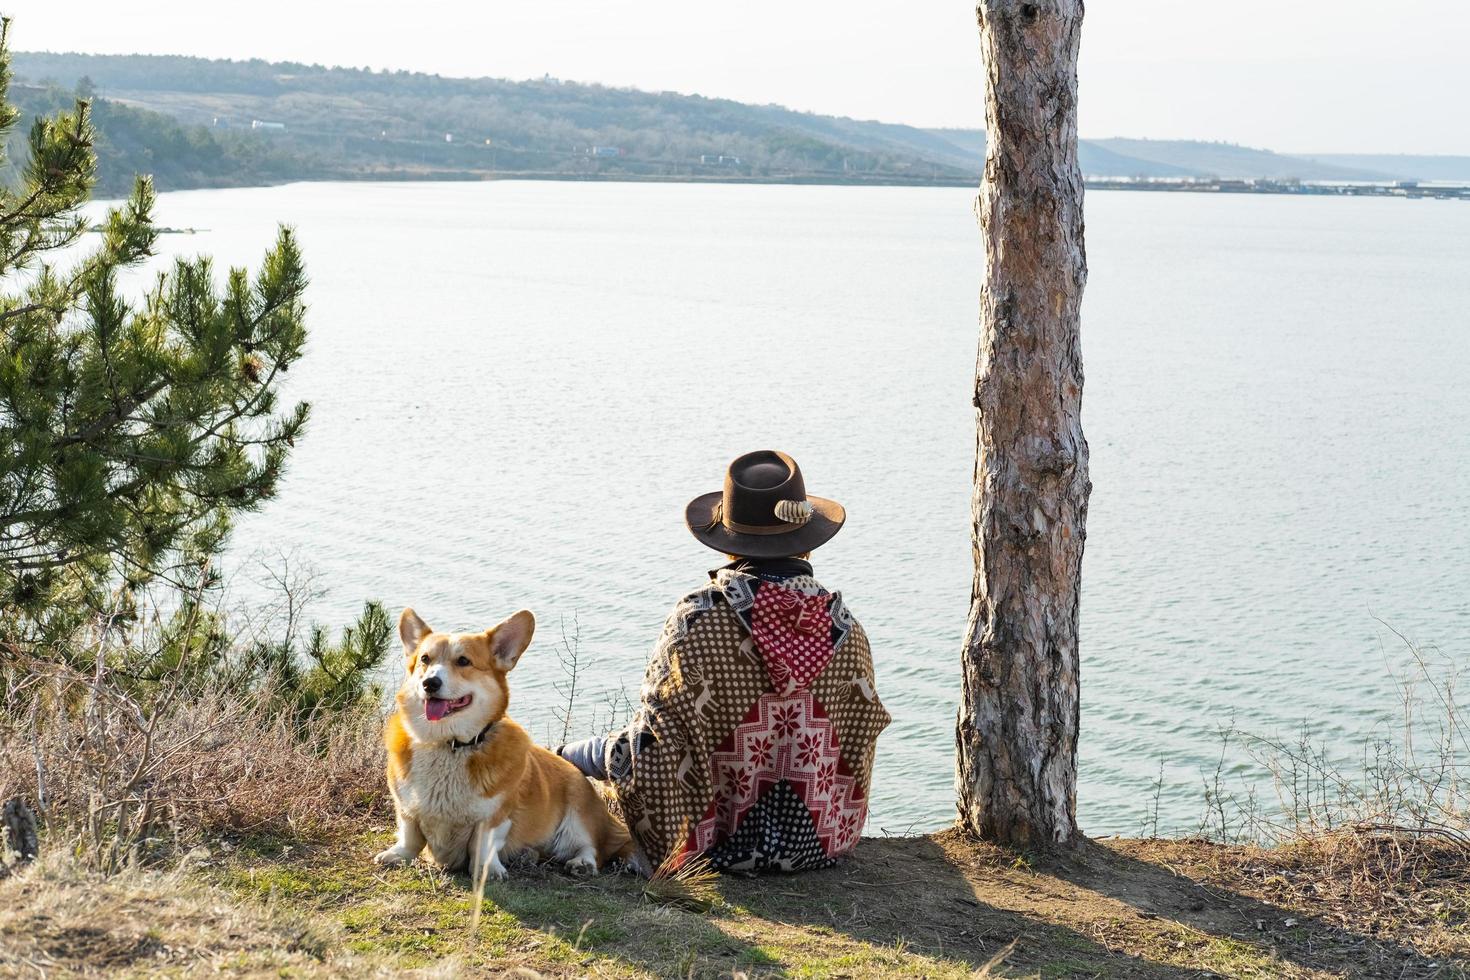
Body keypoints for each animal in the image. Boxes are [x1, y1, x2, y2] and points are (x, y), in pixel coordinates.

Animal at [373, 608, 632, 875]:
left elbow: (483, 844)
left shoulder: (496, 816)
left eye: (463, 661)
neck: (449, 744)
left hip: (578, 813)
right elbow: (409, 834)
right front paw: (397, 854)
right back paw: (527, 855)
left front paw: (488, 870)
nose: (430, 683)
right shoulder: (405, 807)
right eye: (425, 659)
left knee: (591, 848)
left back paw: (581, 863)